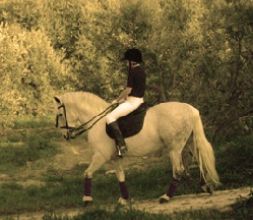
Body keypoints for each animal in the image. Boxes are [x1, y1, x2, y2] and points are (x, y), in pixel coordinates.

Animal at [54, 91, 219, 205]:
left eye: (60, 114)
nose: (65, 136)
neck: (98, 121)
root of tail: (190, 109)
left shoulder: (101, 155)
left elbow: (87, 173)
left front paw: (87, 199)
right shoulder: (115, 158)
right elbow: (120, 176)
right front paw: (124, 199)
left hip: (175, 148)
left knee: (178, 170)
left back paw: (165, 197)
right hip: (189, 143)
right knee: (199, 162)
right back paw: (206, 187)